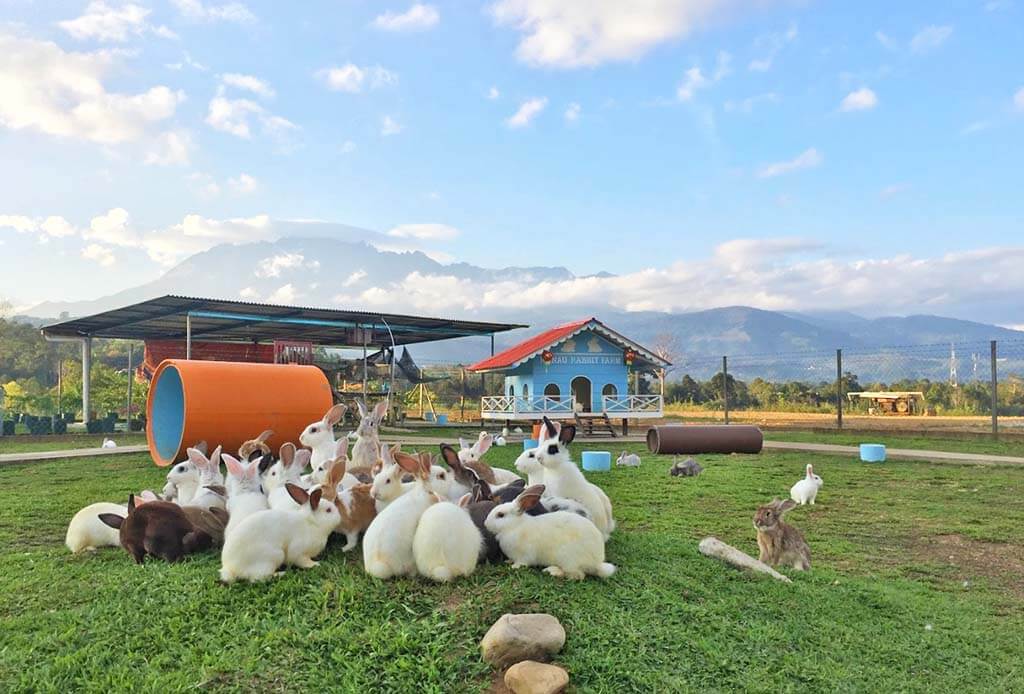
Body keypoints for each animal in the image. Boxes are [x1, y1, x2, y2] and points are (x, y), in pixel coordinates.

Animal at [485, 483, 614, 581]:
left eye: (500, 515)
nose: (485, 524)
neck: (514, 526)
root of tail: (597, 562)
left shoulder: (525, 555)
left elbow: (522, 562)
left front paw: (514, 567)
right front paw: (508, 561)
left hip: (567, 560)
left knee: (577, 575)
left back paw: (552, 570)